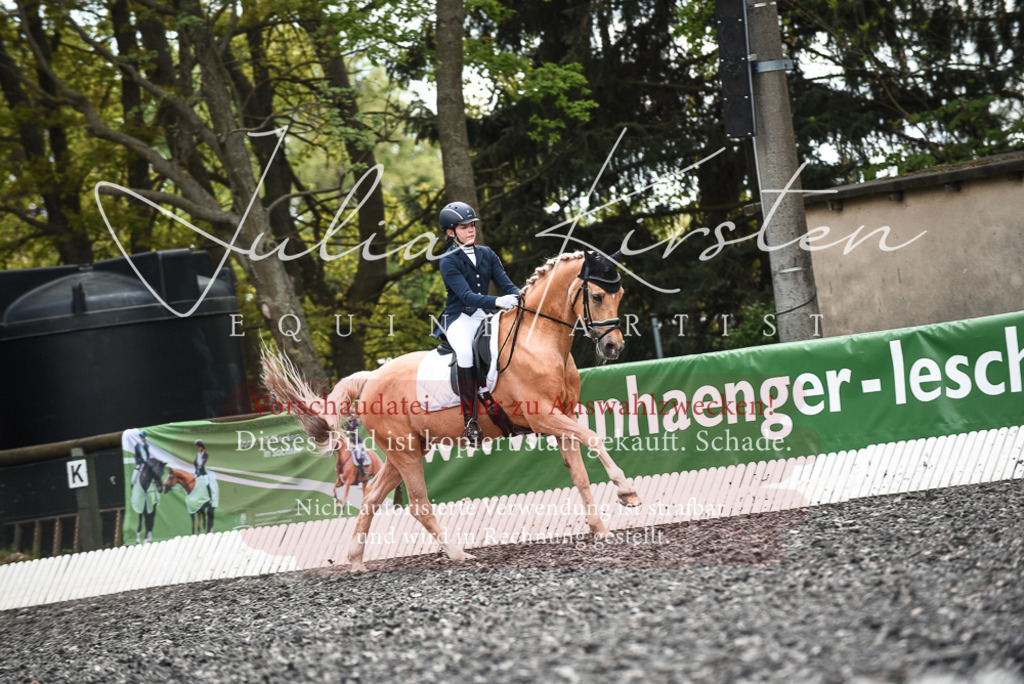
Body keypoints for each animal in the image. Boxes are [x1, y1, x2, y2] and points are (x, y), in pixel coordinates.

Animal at [262, 250, 641, 572]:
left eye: (621, 294)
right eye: (596, 296)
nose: (614, 347)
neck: (540, 342)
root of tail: (370, 378)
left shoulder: (563, 418)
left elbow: (580, 474)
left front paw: (601, 529)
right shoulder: (544, 416)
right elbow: (594, 438)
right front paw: (627, 492)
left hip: (405, 450)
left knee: (371, 497)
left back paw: (356, 561)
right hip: (405, 451)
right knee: (418, 504)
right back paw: (458, 553)